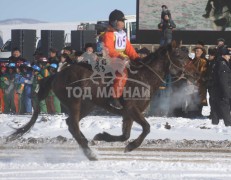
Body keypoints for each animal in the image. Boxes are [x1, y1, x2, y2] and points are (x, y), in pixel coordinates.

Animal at [7, 43, 200, 160]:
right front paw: (131, 147)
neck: (143, 77)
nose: (195, 72)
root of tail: (57, 74)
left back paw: (87, 145)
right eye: (179, 55)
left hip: (87, 105)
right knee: (73, 125)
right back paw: (89, 153)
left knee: (71, 123)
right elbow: (146, 128)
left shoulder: (128, 113)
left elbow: (125, 135)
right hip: (75, 103)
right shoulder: (132, 109)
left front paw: (102, 136)